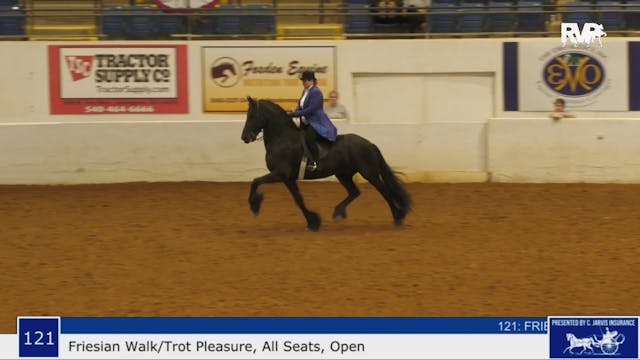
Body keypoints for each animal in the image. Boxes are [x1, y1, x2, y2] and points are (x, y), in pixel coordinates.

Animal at [239, 96, 410, 231]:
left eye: (252, 116)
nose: (244, 138)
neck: (282, 139)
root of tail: (369, 143)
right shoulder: (288, 179)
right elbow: (298, 199)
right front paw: (313, 222)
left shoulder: (280, 173)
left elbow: (255, 181)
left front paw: (254, 205)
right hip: (343, 174)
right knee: (355, 192)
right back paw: (338, 212)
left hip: (369, 173)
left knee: (384, 191)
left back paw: (398, 217)